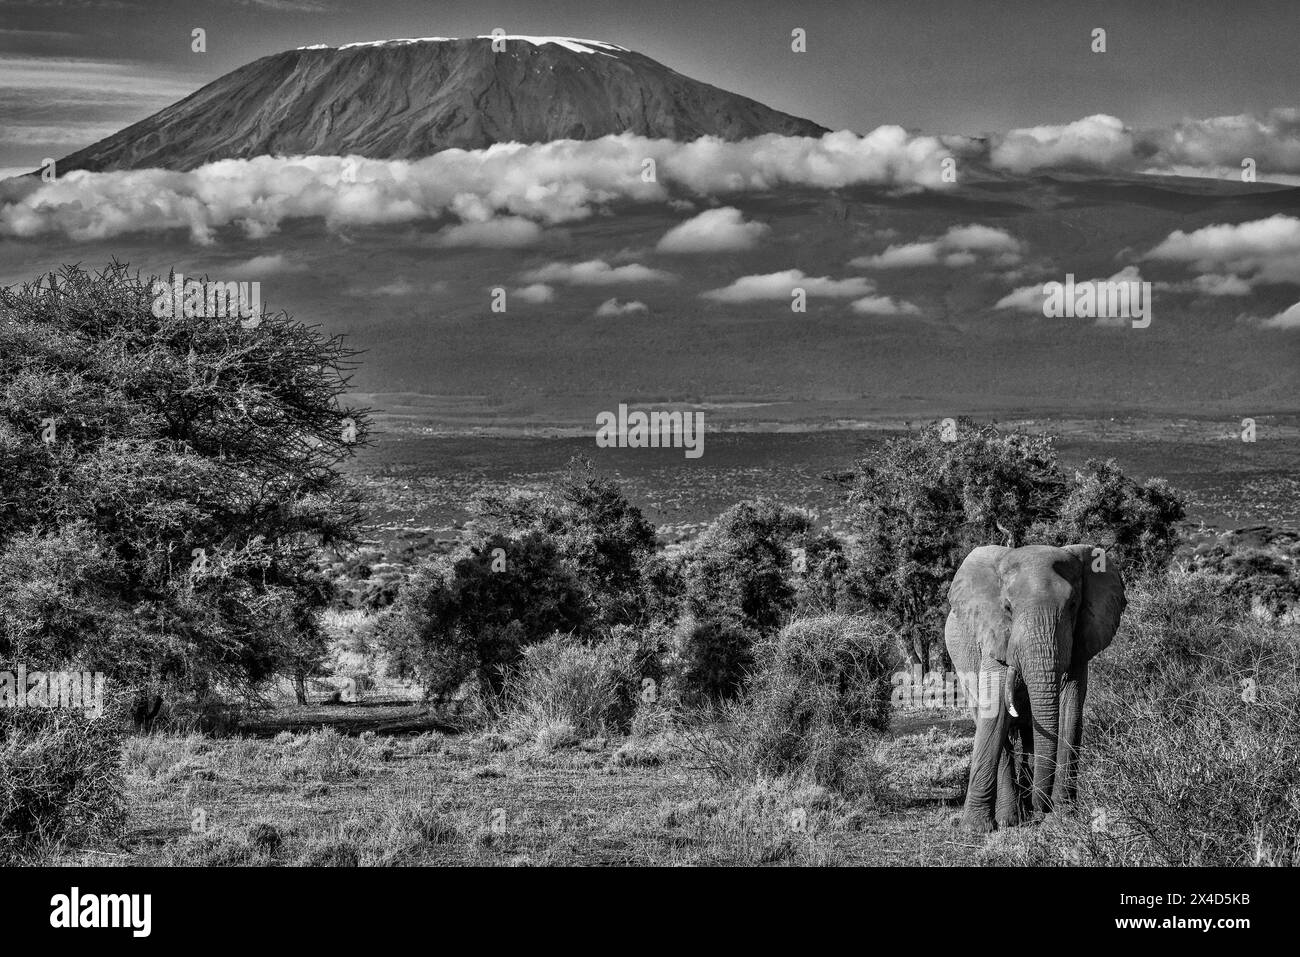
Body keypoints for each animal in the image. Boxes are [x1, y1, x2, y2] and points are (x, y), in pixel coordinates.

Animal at [941, 546, 1123, 832]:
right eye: (1007, 607)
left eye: (1073, 605)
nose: (1043, 807)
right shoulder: (994, 636)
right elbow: (994, 713)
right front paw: (974, 829)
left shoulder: (1080, 642)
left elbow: (1070, 711)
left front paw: (1064, 817)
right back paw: (1010, 818)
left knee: (1029, 733)